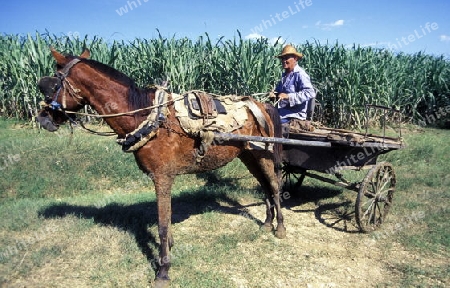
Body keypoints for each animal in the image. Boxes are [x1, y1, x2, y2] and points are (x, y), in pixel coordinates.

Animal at [37, 48, 286, 286]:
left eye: (51, 84)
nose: (42, 118)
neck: (148, 116)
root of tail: (260, 104)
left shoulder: (162, 177)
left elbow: (163, 225)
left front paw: (164, 269)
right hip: (248, 155)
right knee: (264, 185)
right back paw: (267, 223)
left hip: (262, 154)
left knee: (273, 186)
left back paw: (280, 227)